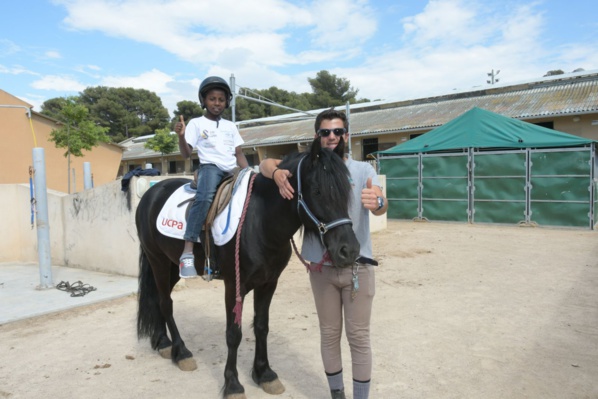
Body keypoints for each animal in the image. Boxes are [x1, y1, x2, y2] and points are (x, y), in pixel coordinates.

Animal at [136, 145, 360, 399]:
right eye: (317, 191)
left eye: (346, 191)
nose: (349, 250)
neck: (260, 221)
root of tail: (150, 194)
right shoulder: (234, 285)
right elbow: (234, 333)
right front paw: (233, 384)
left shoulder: (268, 283)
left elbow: (262, 326)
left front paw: (265, 374)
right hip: (158, 261)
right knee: (165, 303)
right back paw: (180, 351)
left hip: (173, 266)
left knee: (157, 298)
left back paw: (162, 342)